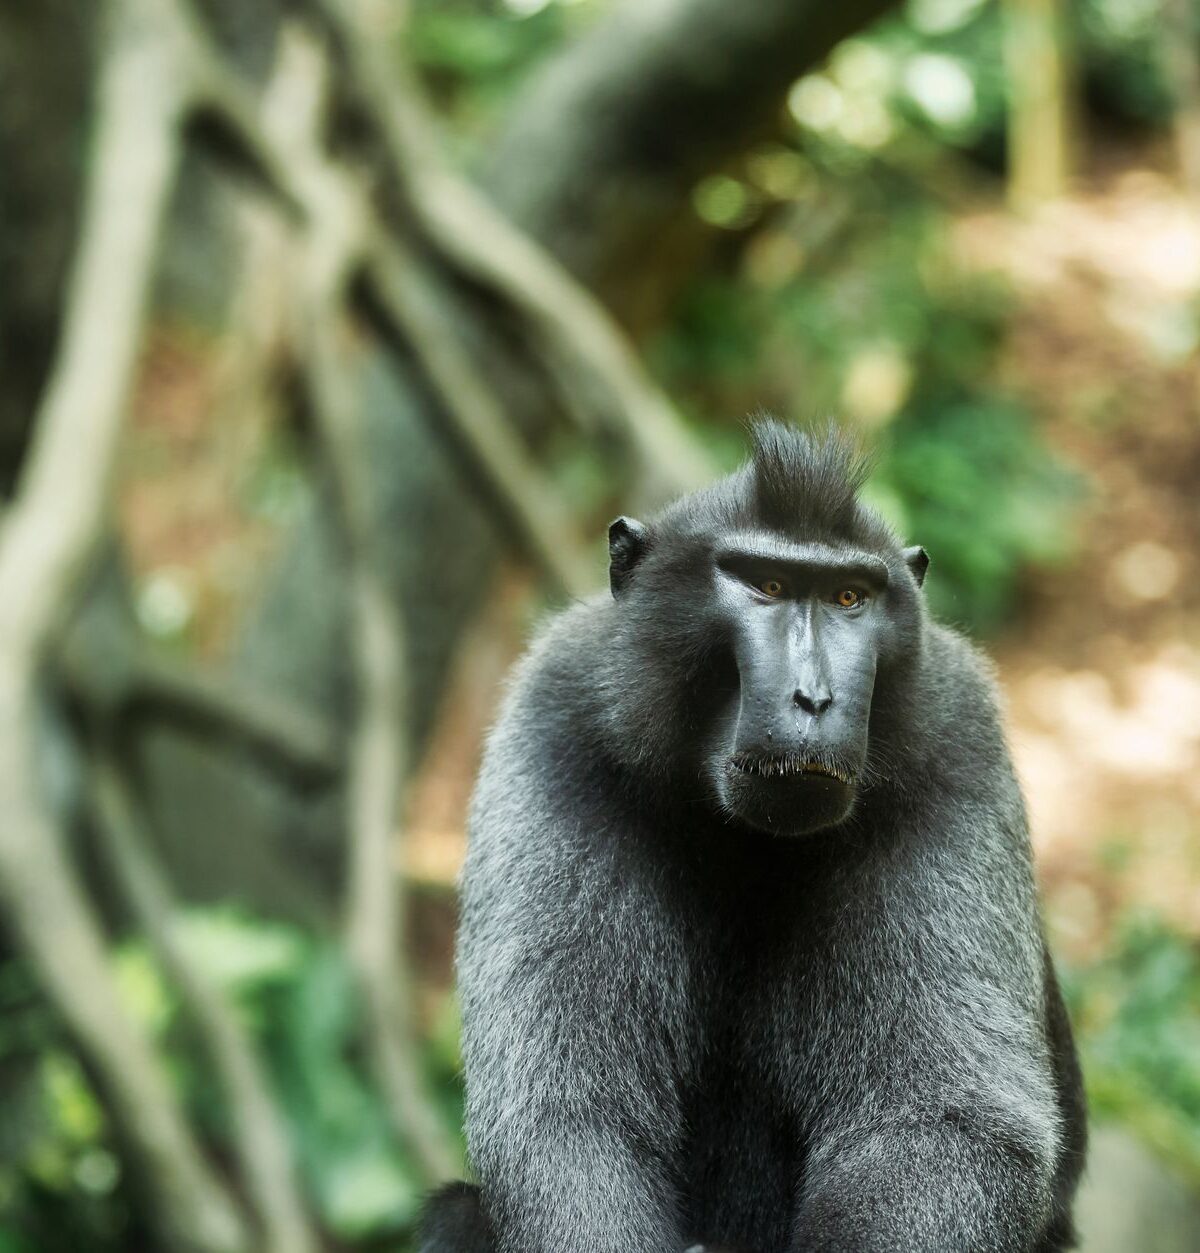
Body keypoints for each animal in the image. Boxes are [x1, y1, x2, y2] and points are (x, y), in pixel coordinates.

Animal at [420, 420, 1086, 1253]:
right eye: (764, 585)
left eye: (848, 597)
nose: (815, 697)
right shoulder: (558, 723)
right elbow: (571, 1121)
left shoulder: (954, 739)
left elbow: (947, 1123)